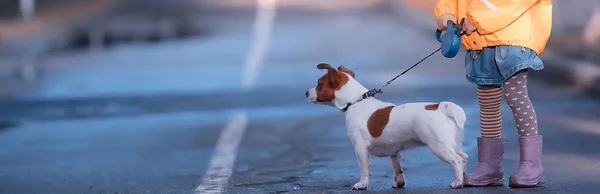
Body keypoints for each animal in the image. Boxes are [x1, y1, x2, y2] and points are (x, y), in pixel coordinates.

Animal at [304, 63, 468, 189]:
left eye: (319, 83)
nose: (306, 93)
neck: (356, 101)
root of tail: (439, 107)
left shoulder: (360, 148)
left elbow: (364, 169)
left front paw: (362, 184)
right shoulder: (394, 151)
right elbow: (397, 168)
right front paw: (399, 183)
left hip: (439, 146)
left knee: (456, 161)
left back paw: (457, 182)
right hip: (453, 144)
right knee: (463, 157)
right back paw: (464, 179)